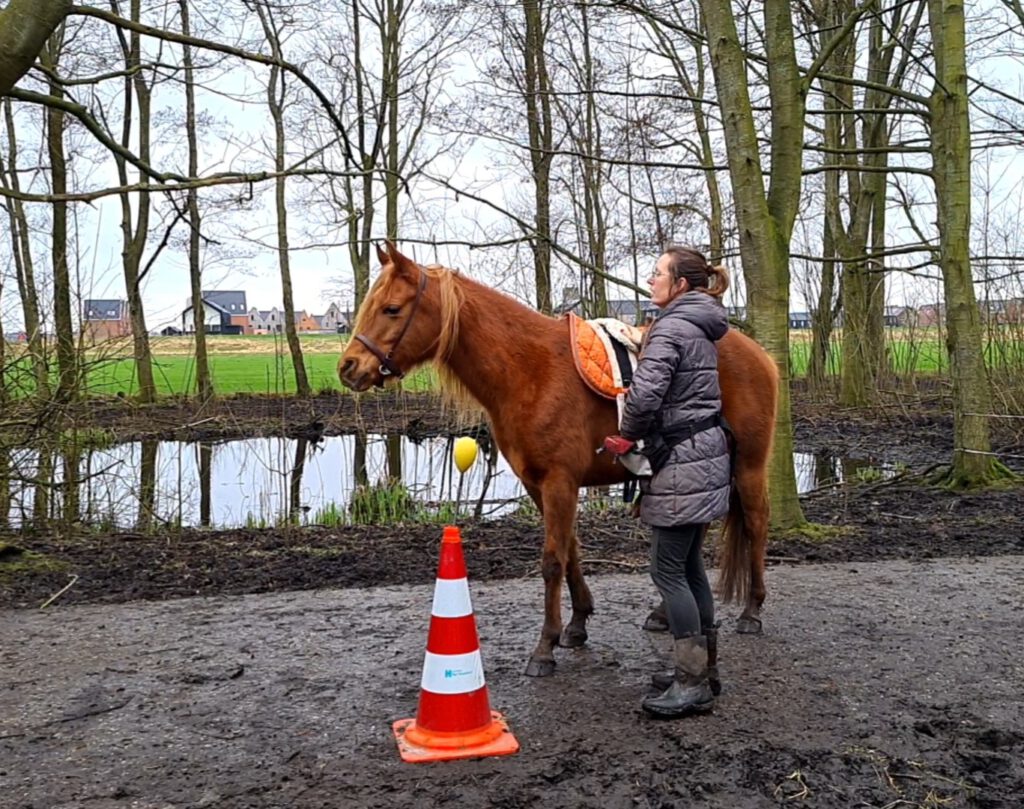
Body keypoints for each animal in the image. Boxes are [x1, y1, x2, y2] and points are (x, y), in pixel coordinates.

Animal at [337, 242, 774, 679]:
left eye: (391, 308)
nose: (348, 367)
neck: (530, 370)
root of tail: (760, 355)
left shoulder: (559, 483)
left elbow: (552, 561)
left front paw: (545, 647)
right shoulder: (539, 485)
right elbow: (570, 551)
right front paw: (577, 623)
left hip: (748, 467)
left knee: (755, 524)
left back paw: (752, 611)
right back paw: (665, 613)